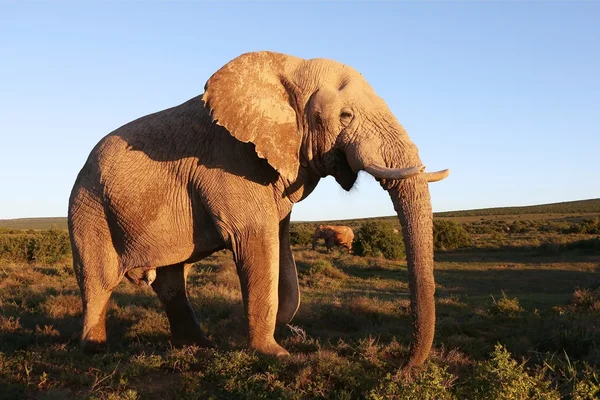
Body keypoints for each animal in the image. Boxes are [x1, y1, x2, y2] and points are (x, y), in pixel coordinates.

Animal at [68, 50, 448, 368]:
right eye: (345, 116)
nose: (401, 367)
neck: (289, 71)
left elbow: (279, 243)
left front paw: (276, 330)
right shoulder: (228, 162)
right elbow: (255, 238)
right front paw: (276, 354)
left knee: (170, 280)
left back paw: (199, 346)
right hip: (89, 207)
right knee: (99, 278)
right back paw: (96, 349)